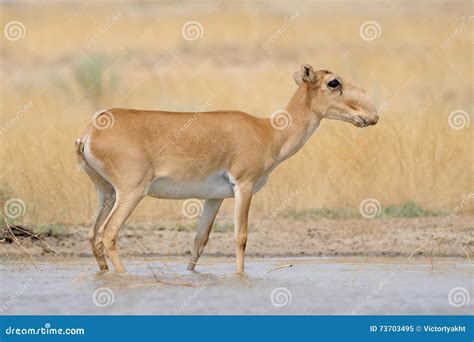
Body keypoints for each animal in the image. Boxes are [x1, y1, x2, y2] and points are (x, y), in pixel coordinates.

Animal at [75, 63, 378, 272]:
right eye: (333, 82)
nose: (371, 115)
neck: (270, 131)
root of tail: (90, 131)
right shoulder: (244, 186)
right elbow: (241, 237)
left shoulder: (214, 198)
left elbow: (199, 242)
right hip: (131, 192)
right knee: (109, 233)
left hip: (107, 192)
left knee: (93, 234)